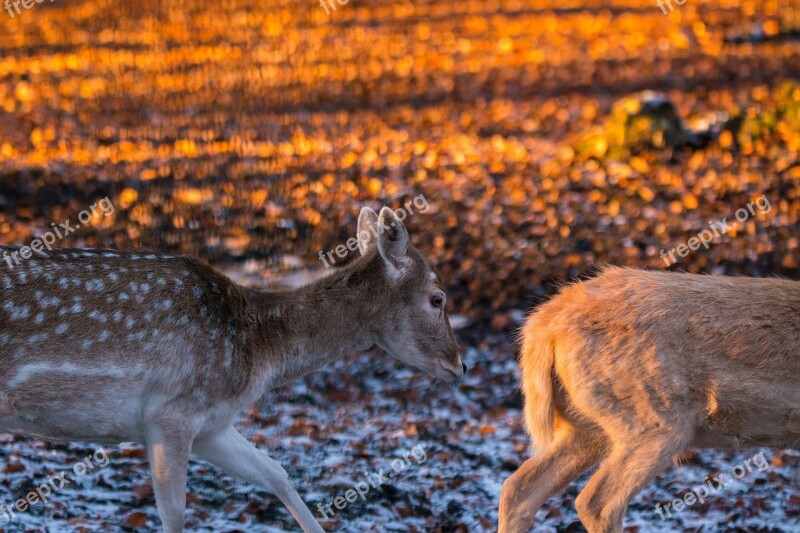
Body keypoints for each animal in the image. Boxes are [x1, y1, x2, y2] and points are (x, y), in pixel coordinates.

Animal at [0, 207, 462, 532]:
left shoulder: (212, 425)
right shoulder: (172, 413)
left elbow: (276, 472)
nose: (460, 364)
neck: (258, 356)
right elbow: (175, 515)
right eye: (437, 298)